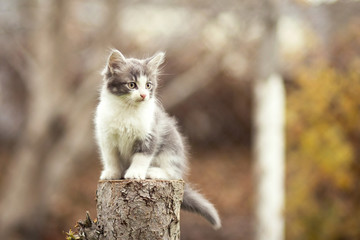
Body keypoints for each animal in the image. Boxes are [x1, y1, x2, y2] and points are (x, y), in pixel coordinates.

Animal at [94, 49, 221, 230]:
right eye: (131, 84)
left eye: (148, 85)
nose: (143, 95)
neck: (128, 110)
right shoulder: (106, 136)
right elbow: (110, 157)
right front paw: (111, 172)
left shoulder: (151, 133)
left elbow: (142, 156)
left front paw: (135, 173)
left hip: (172, 147)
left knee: (172, 172)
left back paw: (152, 172)